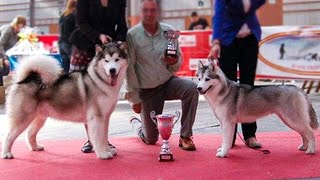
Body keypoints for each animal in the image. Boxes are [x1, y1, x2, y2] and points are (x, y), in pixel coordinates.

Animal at [1, 41, 129, 159]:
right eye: (106, 61)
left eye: (117, 59)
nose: (112, 70)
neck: (99, 81)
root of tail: (25, 79)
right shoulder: (96, 118)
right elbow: (99, 138)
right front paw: (103, 154)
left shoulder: (105, 118)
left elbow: (105, 137)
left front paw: (108, 150)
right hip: (23, 118)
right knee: (8, 136)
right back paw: (6, 154)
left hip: (39, 118)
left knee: (30, 134)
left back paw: (35, 147)